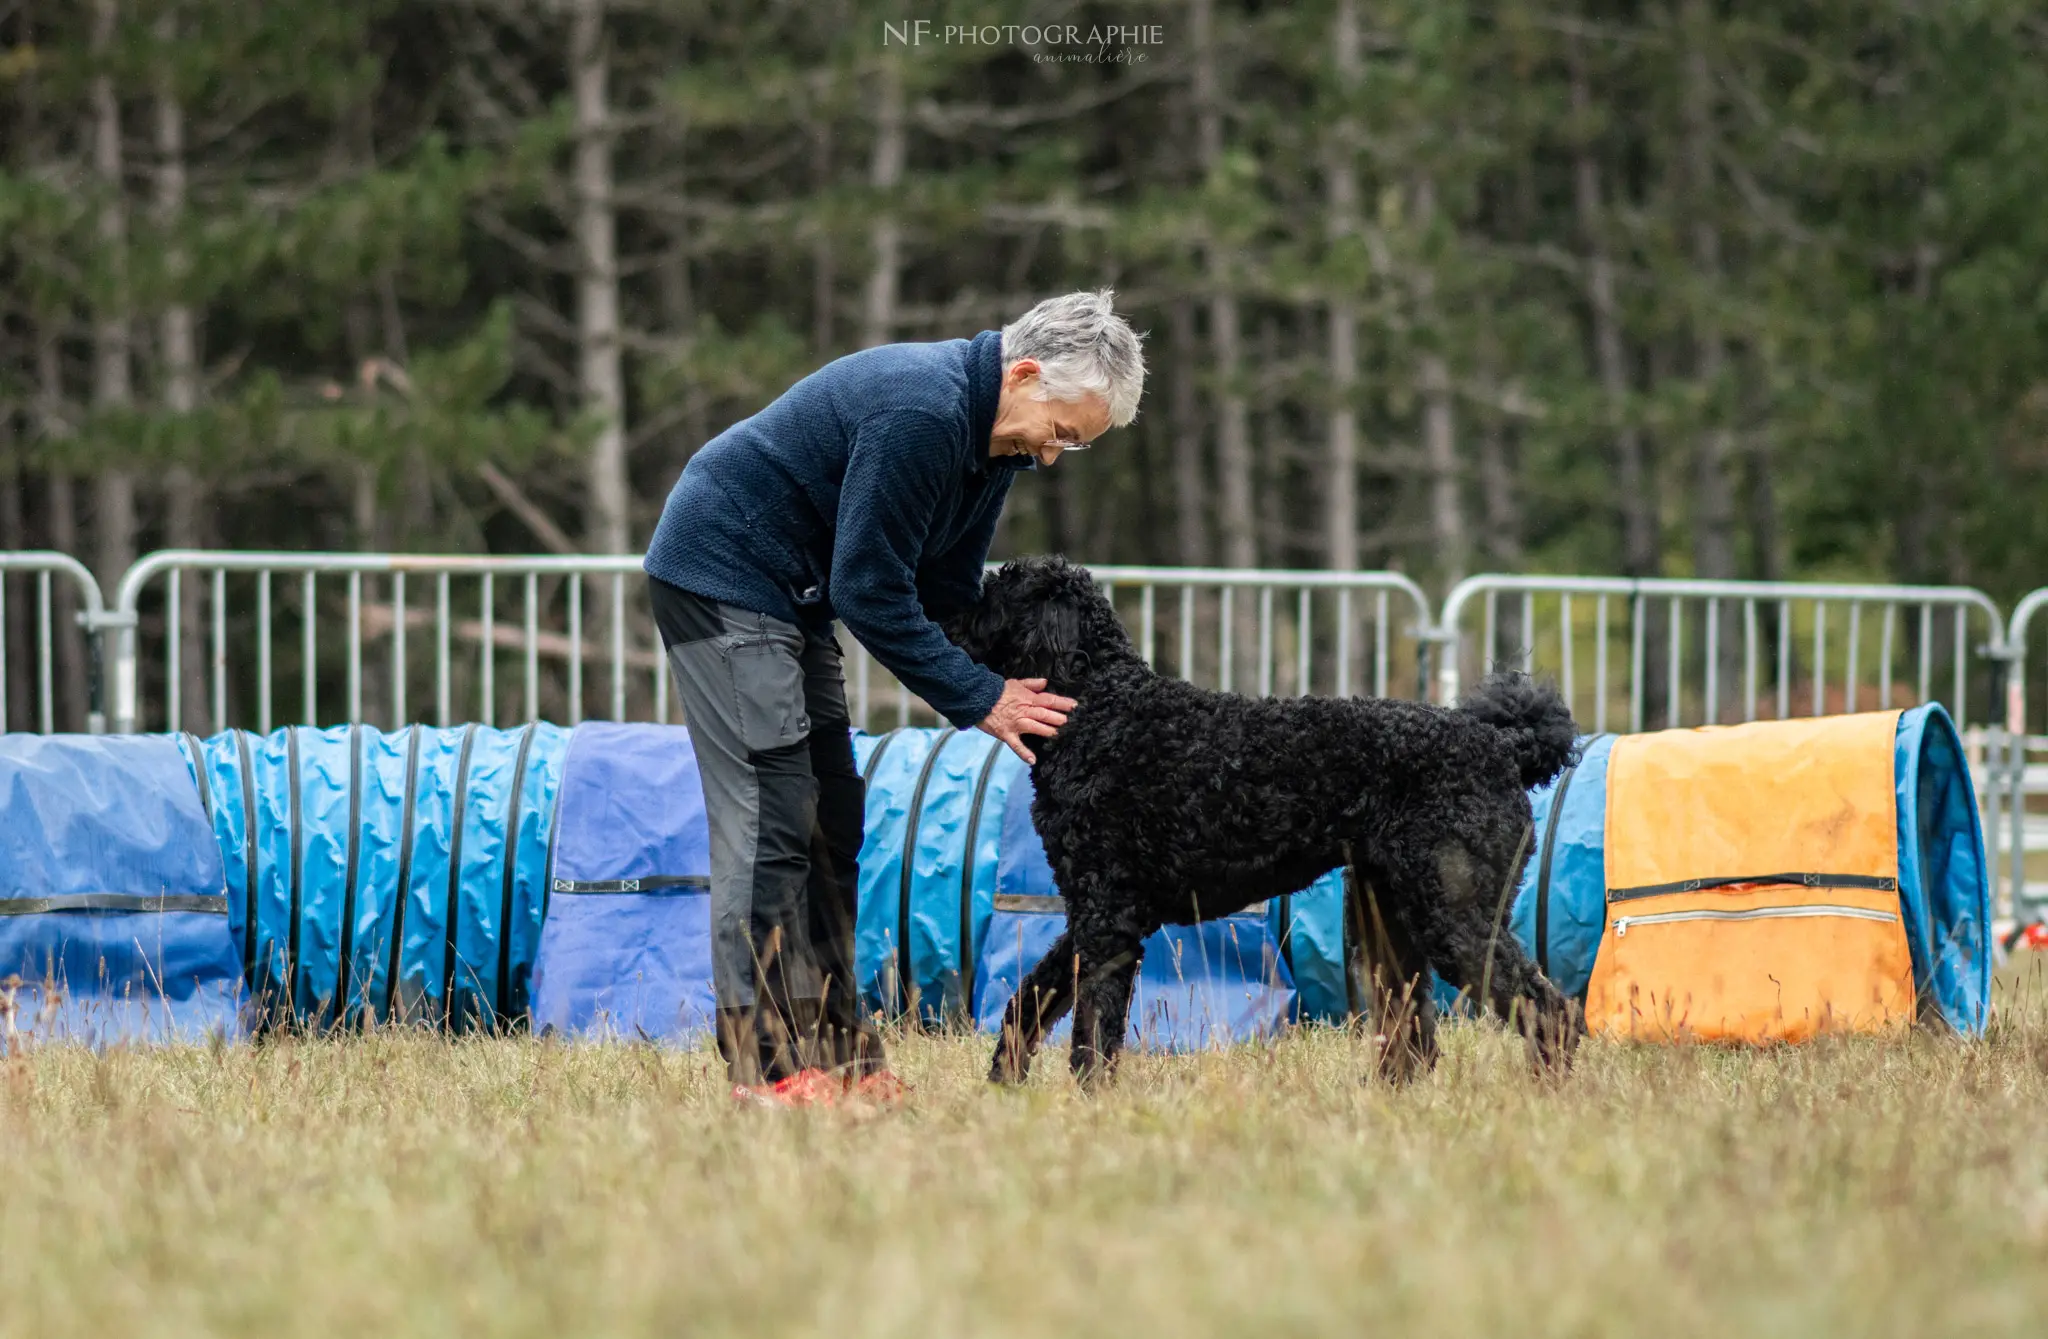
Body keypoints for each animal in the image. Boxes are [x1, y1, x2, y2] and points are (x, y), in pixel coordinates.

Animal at [942, 556, 1581, 1089]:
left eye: (995, 589)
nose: (941, 607)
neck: (1101, 707)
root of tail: (1505, 745)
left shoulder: (1107, 918)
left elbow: (1092, 1028)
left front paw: (1088, 1102)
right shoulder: (1092, 912)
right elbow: (1031, 999)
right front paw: (1005, 1081)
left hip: (1455, 917)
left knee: (1548, 1009)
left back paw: (1543, 1093)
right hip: (1386, 918)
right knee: (1413, 1032)